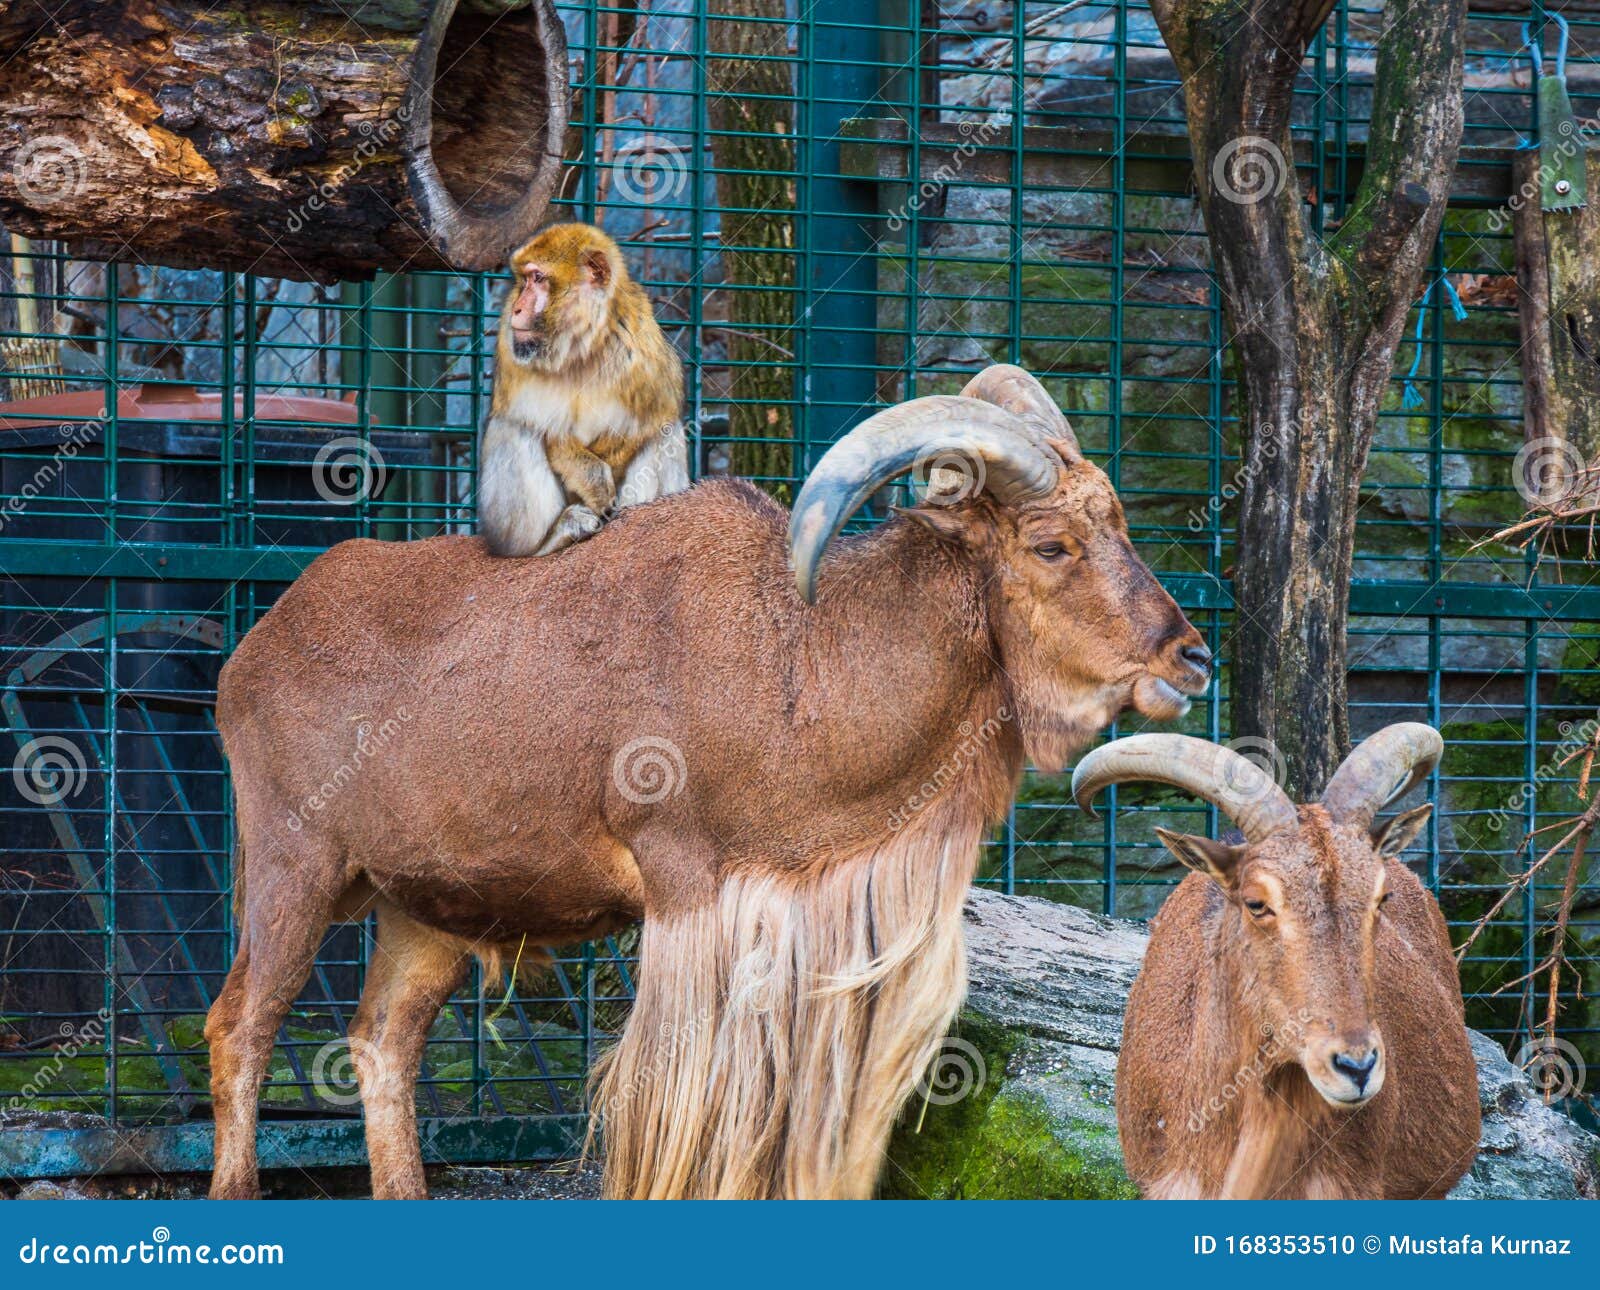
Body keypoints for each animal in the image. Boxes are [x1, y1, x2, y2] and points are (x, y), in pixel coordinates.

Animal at [205, 365, 1211, 1200]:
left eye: (1118, 525)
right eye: (1052, 545)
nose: (1191, 657)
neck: (804, 660)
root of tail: (256, 646)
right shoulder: (685, 886)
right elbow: (676, 1108)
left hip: (427, 909)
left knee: (383, 1042)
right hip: (296, 866)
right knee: (239, 1028)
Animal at [478, 223, 689, 557]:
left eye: (538, 278)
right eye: (524, 280)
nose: (517, 308)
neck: (580, 344)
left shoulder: (643, 344)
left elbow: (652, 420)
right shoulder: (510, 343)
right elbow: (545, 428)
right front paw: (595, 482)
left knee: (665, 432)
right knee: (515, 425)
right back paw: (550, 541)